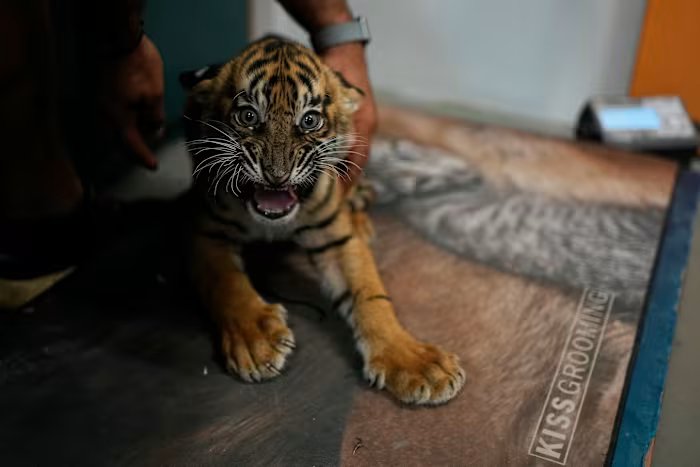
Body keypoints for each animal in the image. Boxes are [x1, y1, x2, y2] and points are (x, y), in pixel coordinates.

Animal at [184, 36, 465, 405]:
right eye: (248, 116)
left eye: (309, 121)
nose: (276, 176)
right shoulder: (207, 232)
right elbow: (228, 284)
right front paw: (255, 340)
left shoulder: (335, 239)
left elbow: (371, 296)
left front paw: (415, 363)